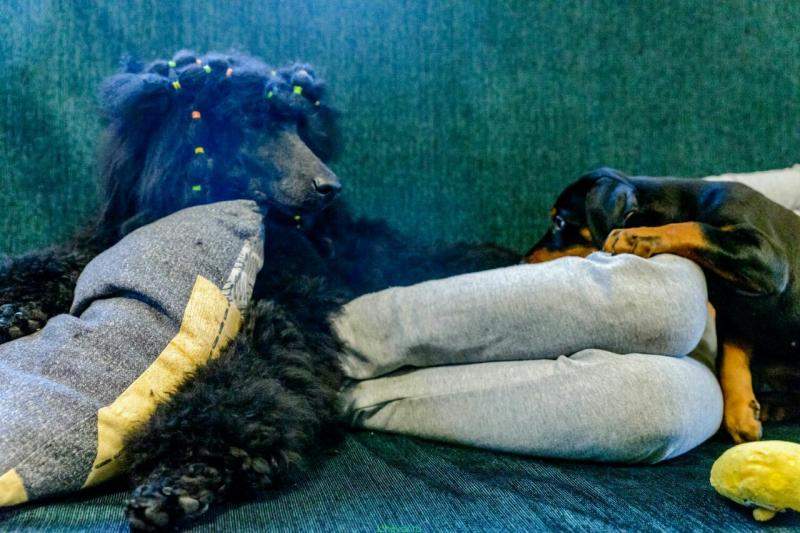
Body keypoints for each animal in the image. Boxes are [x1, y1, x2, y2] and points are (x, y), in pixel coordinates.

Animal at [523, 167, 800, 444]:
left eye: (559, 222)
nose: (522, 261)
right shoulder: (733, 314)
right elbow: (730, 358)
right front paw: (741, 416)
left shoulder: (768, 258)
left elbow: (696, 226)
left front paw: (636, 235)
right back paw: (774, 407)